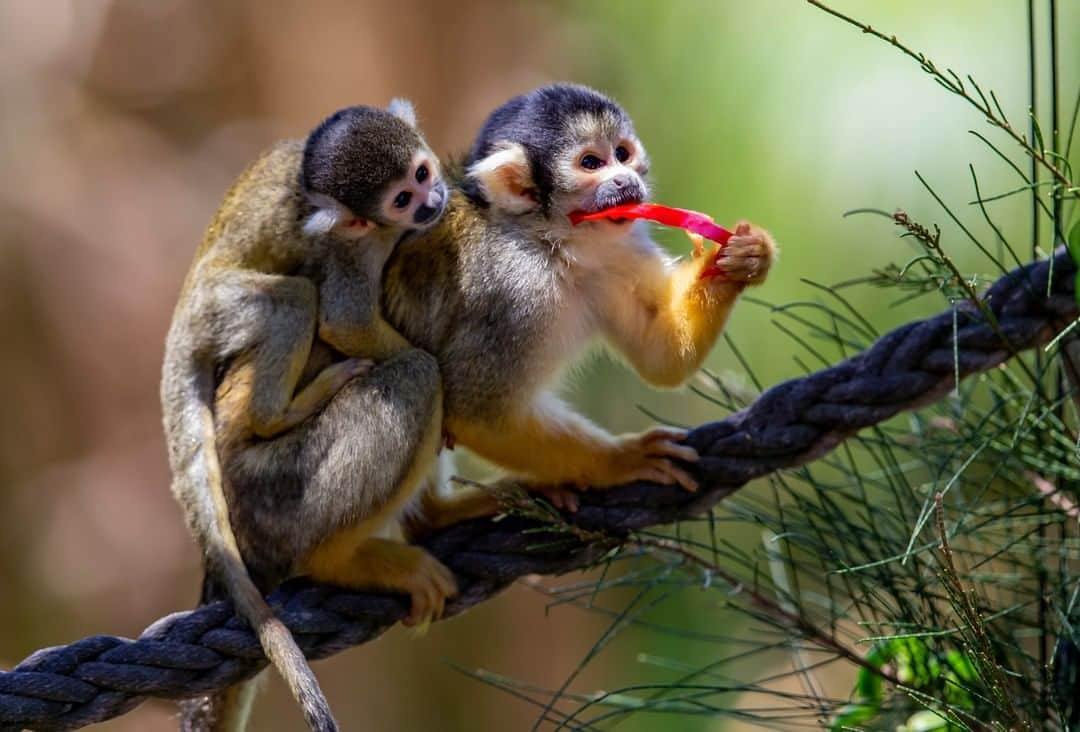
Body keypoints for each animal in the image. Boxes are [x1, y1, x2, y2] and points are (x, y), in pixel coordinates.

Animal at [160, 102, 447, 732]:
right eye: (402, 198)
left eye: (422, 172)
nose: (433, 200)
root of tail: (182, 319)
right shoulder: (356, 244)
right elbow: (343, 320)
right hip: (225, 308)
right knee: (297, 301)